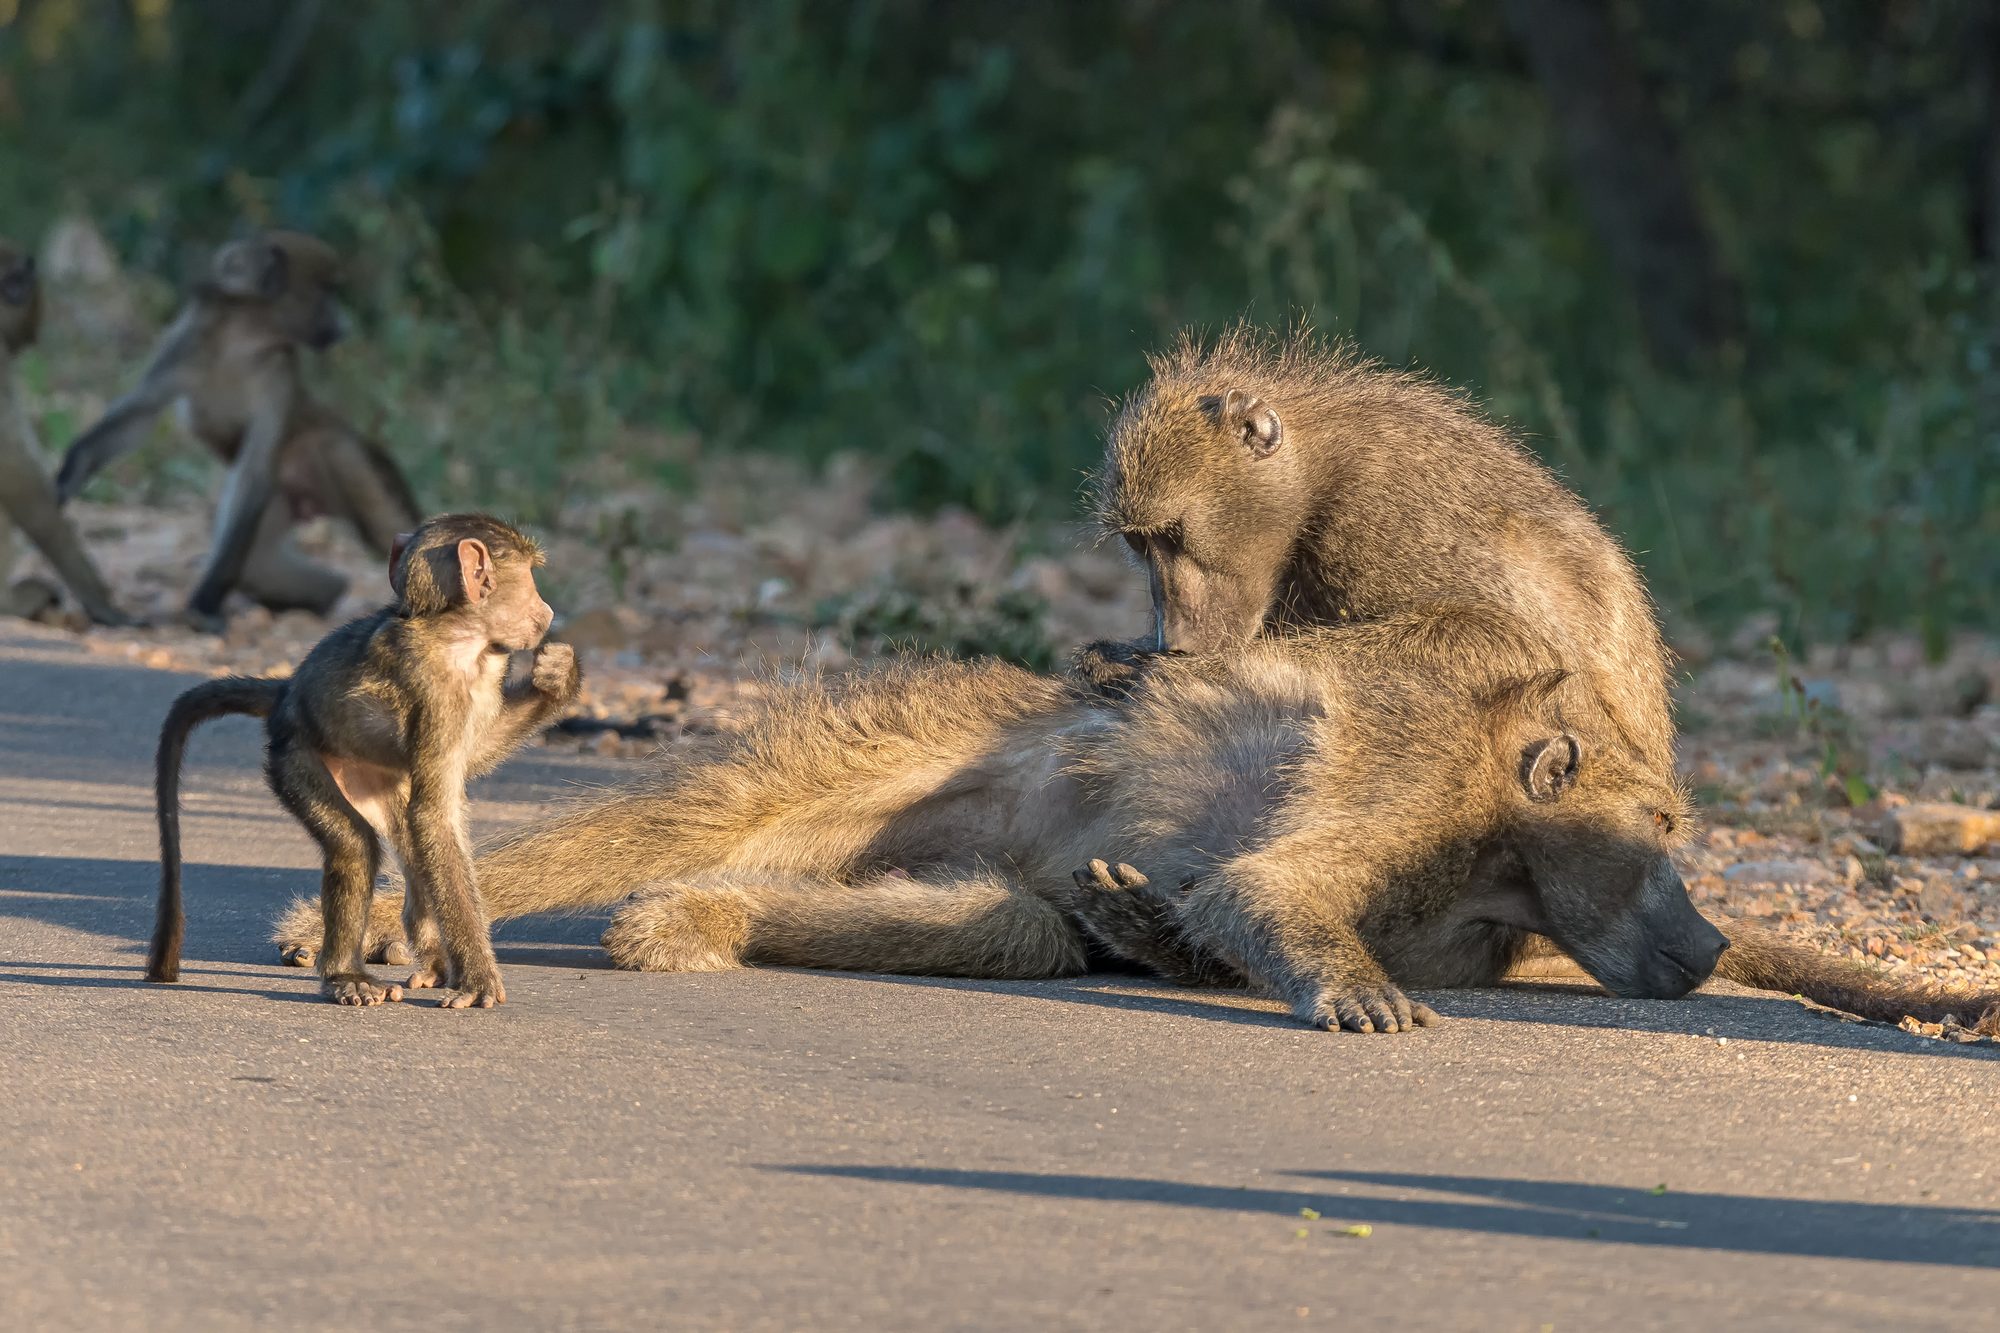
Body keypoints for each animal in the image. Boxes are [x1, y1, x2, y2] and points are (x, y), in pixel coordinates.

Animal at [54, 230, 420, 630]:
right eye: (326, 291)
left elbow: (254, 469)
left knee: (350, 474)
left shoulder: (276, 375)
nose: (344, 327)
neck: (243, 339)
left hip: (328, 457)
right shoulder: (189, 343)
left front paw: (206, 602)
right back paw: (322, 598)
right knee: (260, 569)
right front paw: (71, 472)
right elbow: (141, 414)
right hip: (282, 500)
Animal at [155, 512, 578, 1007]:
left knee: (410, 842)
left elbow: (466, 766)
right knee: (356, 845)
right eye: (529, 576)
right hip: (295, 758)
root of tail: (288, 694)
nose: (547, 611)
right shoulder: (440, 692)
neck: (453, 632)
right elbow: (434, 814)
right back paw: (346, 975)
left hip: (374, 779)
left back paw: (432, 963)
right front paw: (478, 980)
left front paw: (557, 676)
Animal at [1074, 322, 1675, 778]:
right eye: (1139, 543)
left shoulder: (1384, 513)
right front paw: (1116, 657)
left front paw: (1174, 670)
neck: (1318, 472)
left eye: (1173, 535)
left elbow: (1516, 642)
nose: (1171, 639)